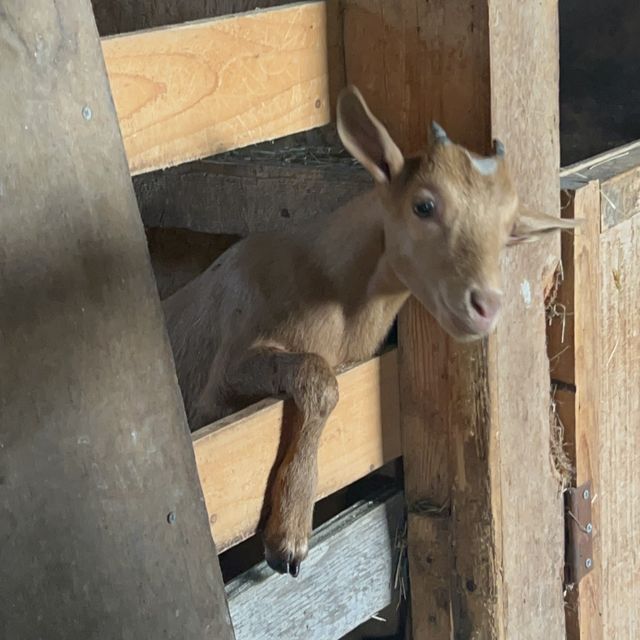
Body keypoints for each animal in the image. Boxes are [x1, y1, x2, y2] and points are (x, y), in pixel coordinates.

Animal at [162, 84, 576, 576]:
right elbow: (318, 378)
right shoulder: (221, 381)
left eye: (511, 231)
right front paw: (290, 538)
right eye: (424, 205)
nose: (486, 306)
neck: (329, 287)